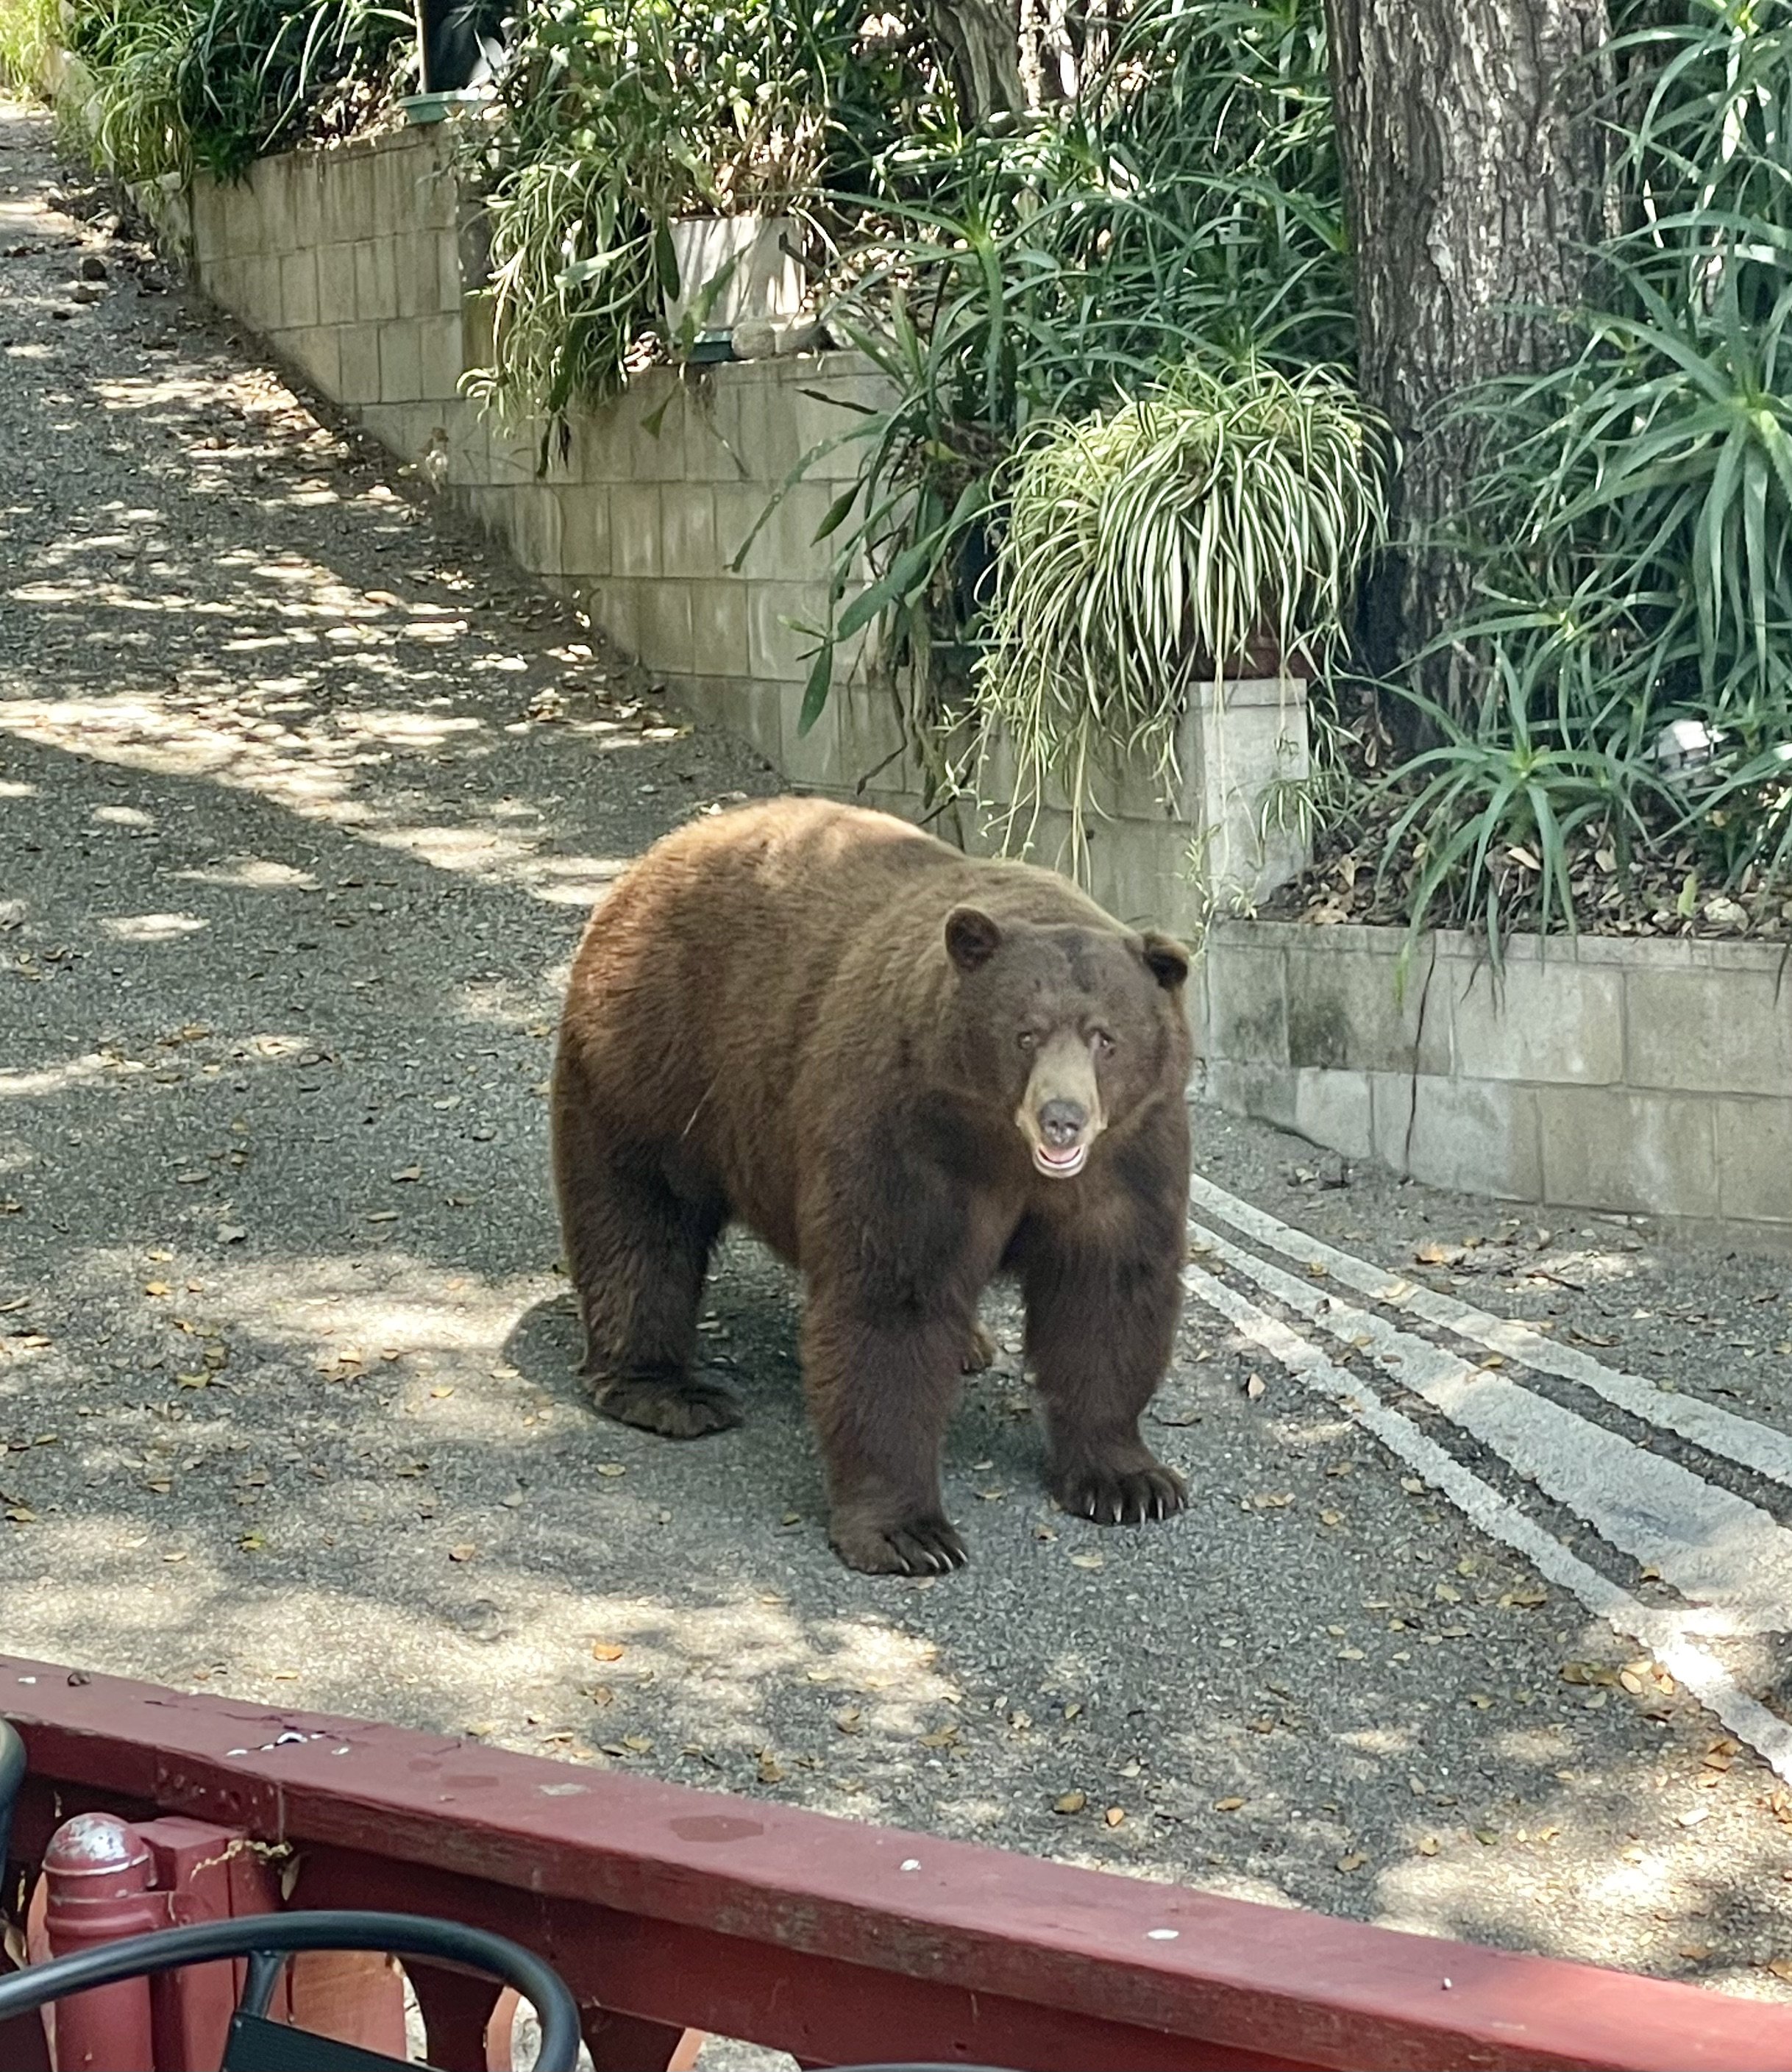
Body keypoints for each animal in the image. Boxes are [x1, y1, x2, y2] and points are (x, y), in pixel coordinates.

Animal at [550, 796, 1193, 1575]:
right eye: (1025, 1033)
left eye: (1105, 1037)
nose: (1062, 1117)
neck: (1003, 1152)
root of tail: (657, 857)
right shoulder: (907, 1134)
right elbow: (891, 1302)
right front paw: (910, 1533)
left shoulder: (1130, 1155)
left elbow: (1110, 1290)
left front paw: (1130, 1481)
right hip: (658, 1058)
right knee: (640, 1217)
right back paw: (669, 1390)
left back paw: (971, 1344)